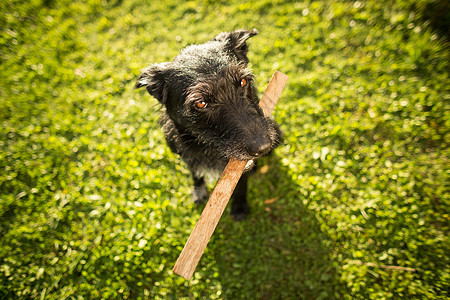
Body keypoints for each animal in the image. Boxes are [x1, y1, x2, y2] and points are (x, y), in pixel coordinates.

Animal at [135, 28, 282, 220]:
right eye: (200, 103)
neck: (207, 147)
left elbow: (240, 184)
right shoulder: (186, 155)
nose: (263, 146)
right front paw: (199, 192)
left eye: (243, 82)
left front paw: (239, 206)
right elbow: (196, 174)